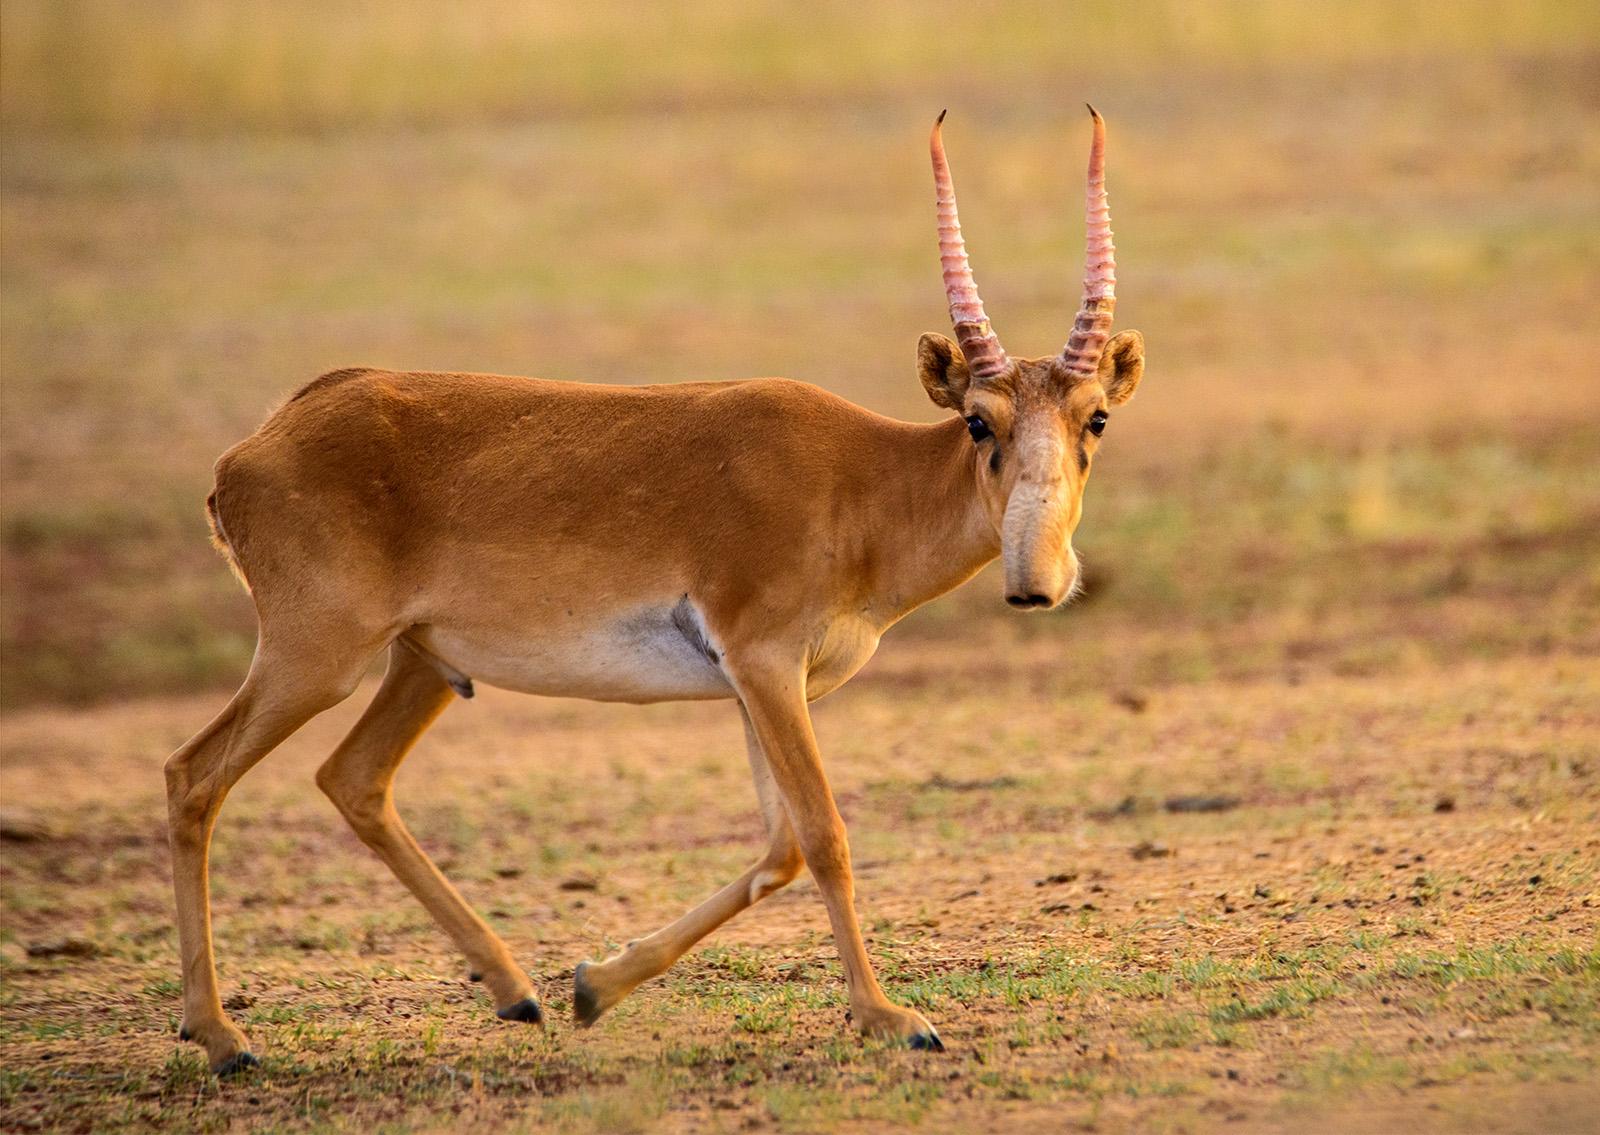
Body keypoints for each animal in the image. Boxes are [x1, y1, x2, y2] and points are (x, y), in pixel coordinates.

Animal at [168, 108, 1145, 1069]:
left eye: (1095, 417)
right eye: (979, 420)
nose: (1037, 584)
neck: (863, 479)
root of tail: (253, 446)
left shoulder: (765, 687)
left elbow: (781, 847)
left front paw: (594, 984)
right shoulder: (764, 664)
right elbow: (824, 835)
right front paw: (891, 1017)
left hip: (421, 666)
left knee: (353, 777)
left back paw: (516, 989)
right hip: (317, 658)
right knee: (194, 775)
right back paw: (222, 1036)